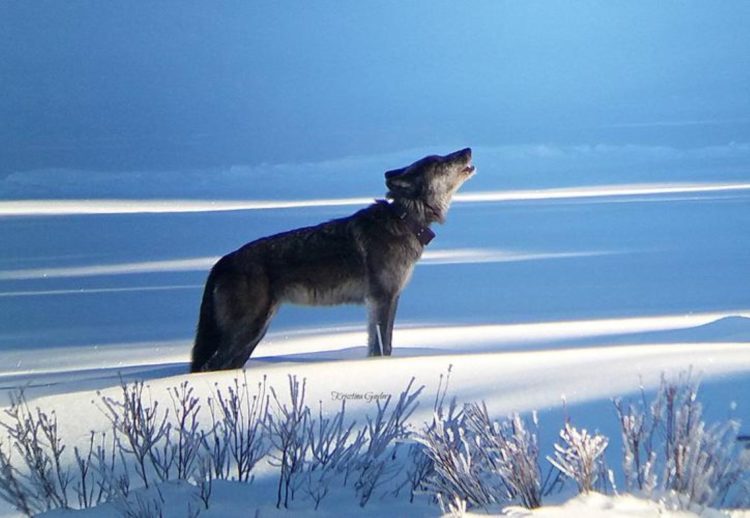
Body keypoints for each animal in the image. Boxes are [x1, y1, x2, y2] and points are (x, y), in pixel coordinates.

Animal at [192, 148, 476, 372]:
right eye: (439, 162)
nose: (468, 149)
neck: (404, 219)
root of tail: (222, 261)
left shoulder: (389, 299)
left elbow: (383, 346)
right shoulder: (382, 299)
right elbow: (381, 347)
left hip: (253, 335)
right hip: (249, 330)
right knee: (211, 367)